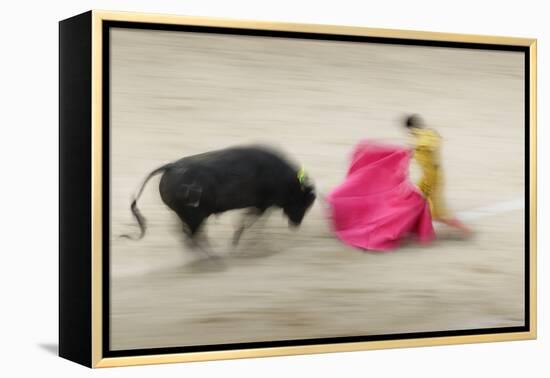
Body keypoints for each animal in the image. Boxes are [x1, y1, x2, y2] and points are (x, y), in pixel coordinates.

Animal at [123, 145, 316, 248]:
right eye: (304, 202)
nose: (296, 224)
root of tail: (170, 166)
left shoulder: (262, 205)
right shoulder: (263, 204)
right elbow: (249, 221)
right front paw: (239, 241)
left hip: (186, 214)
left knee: (186, 234)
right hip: (194, 216)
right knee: (192, 236)